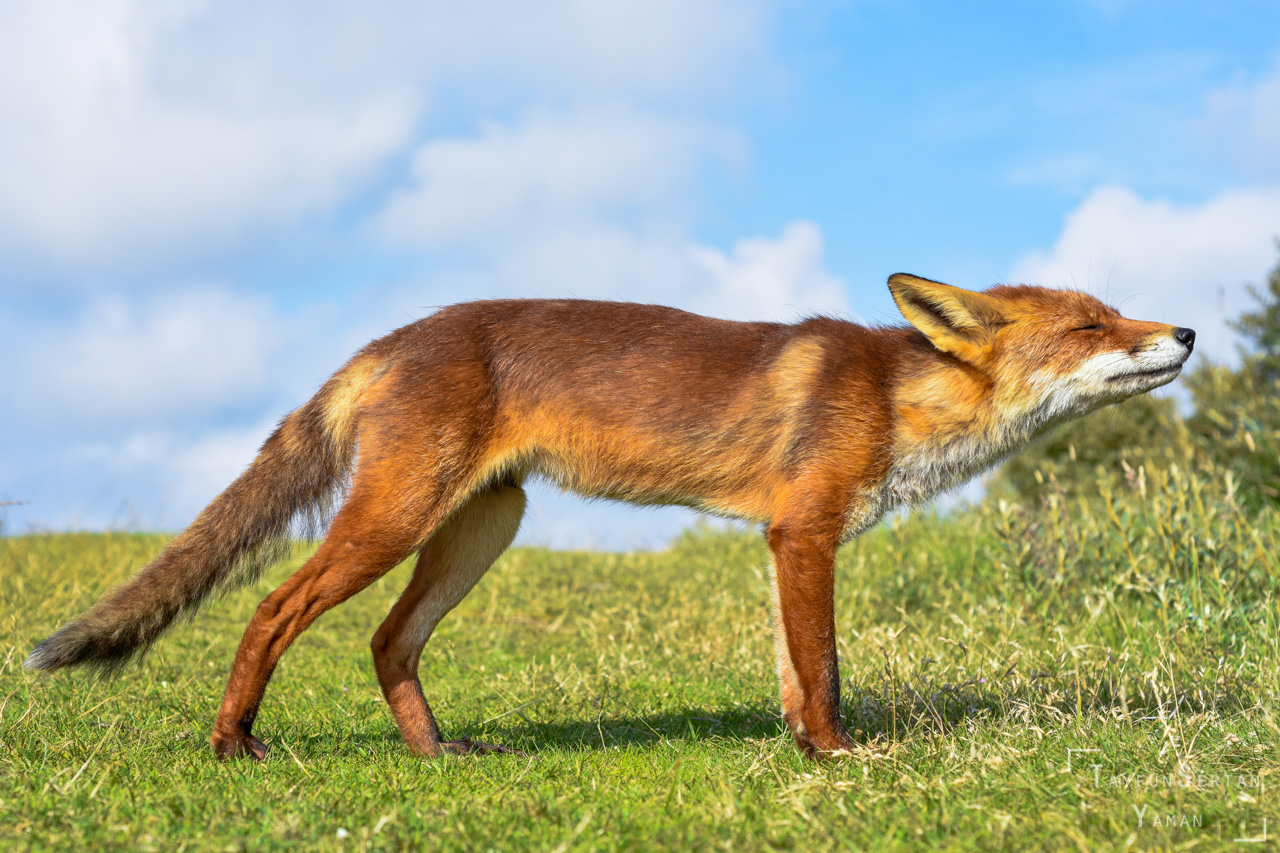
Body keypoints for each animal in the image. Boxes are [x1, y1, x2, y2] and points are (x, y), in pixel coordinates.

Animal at [26, 274, 1194, 761]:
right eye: (1091, 326)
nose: (1182, 330)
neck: (894, 398)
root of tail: (396, 335)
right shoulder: (804, 533)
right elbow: (822, 668)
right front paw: (839, 755)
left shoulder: (782, 541)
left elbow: (790, 670)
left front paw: (798, 750)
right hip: (393, 522)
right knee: (272, 609)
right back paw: (233, 742)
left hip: (480, 528)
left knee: (386, 640)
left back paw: (435, 753)